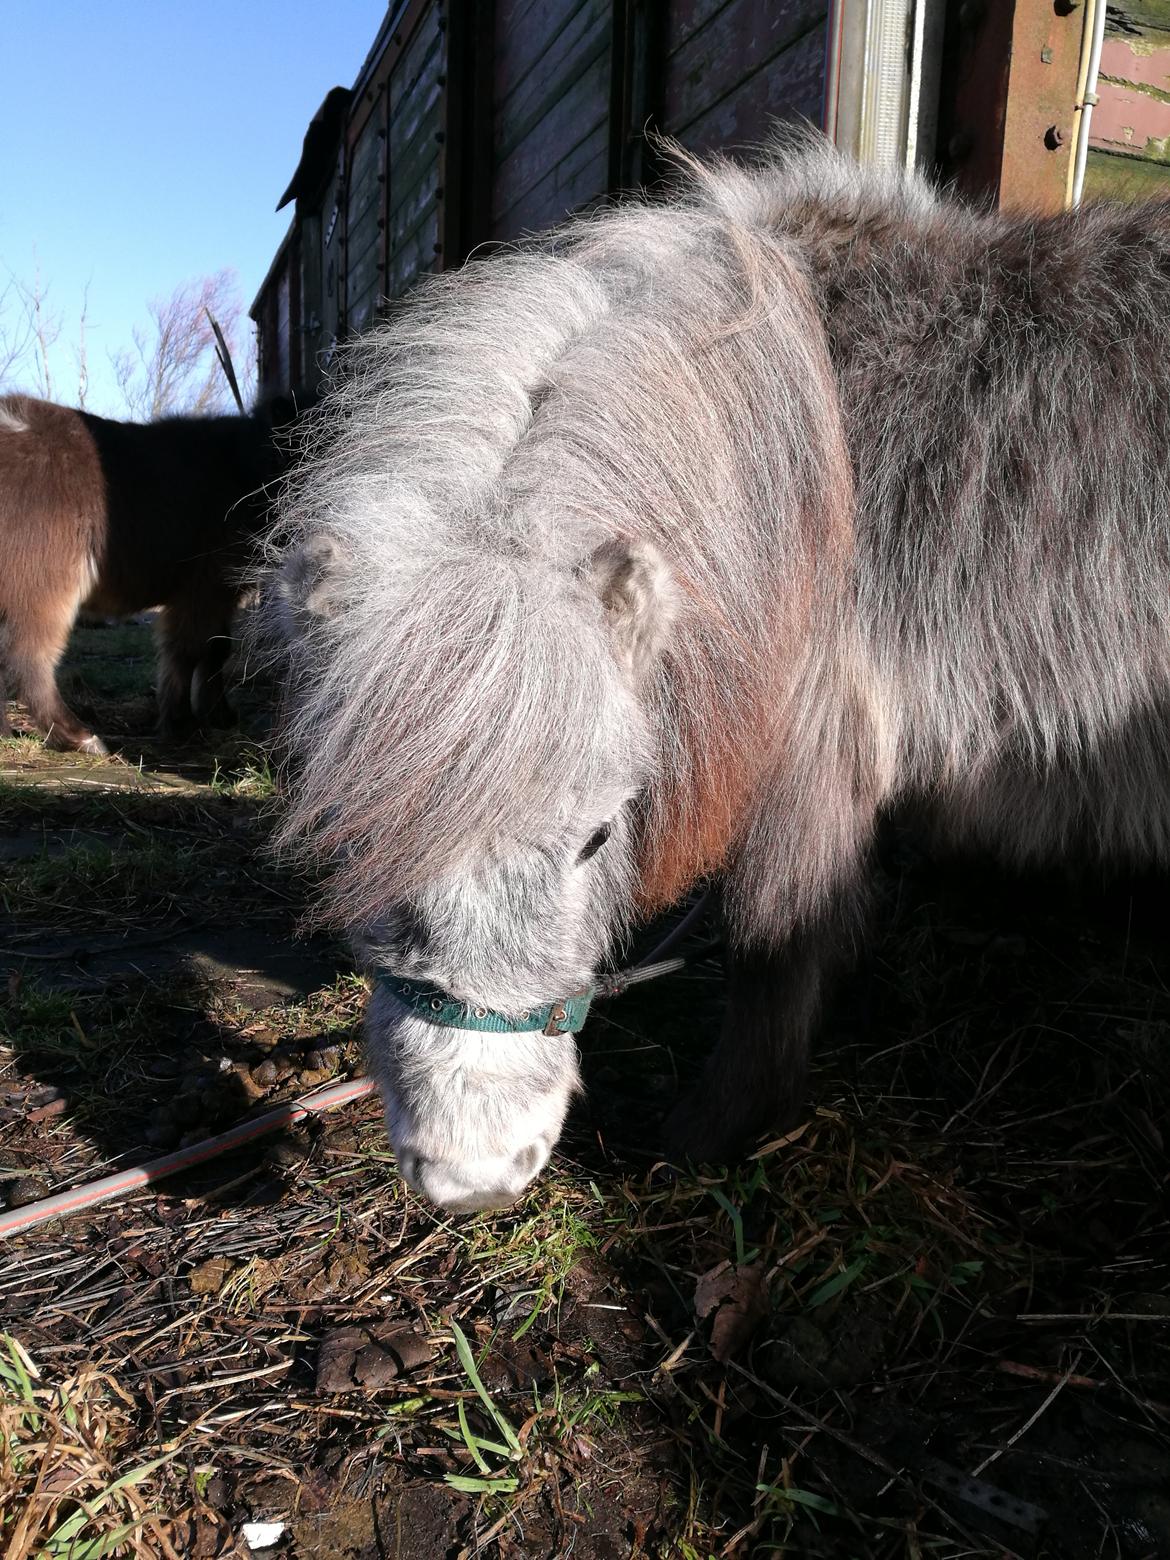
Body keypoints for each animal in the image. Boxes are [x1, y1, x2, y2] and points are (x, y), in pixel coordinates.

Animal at [265, 131, 1170, 1204]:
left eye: (599, 836)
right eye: (354, 839)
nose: (472, 1175)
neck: (806, 464)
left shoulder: (813, 763)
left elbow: (770, 949)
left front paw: (709, 1135)